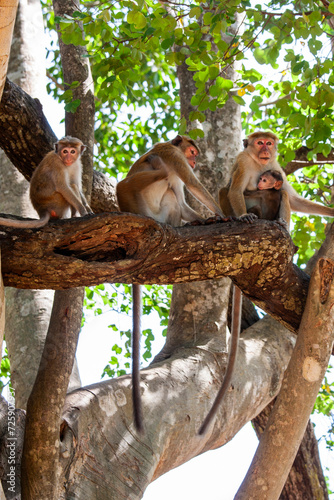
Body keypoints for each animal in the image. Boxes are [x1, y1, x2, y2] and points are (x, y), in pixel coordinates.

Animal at [117, 134, 227, 434]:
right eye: (192, 152)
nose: (194, 160)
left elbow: (183, 196)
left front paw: (205, 218)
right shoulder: (173, 155)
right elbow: (192, 184)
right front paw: (226, 215)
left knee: (172, 195)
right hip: (140, 205)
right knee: (147, 183)